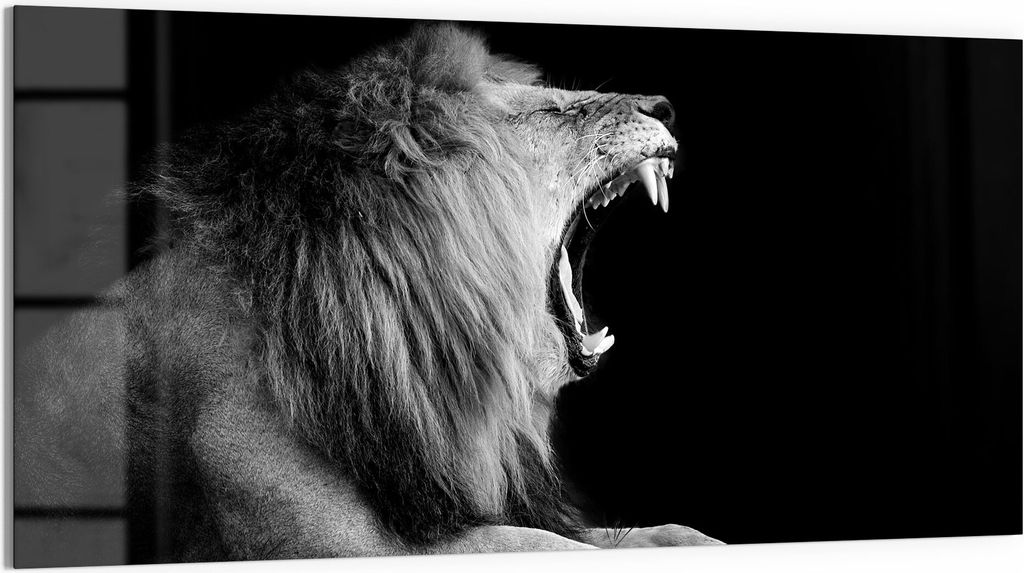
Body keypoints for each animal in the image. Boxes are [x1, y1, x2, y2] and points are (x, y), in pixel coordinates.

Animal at [14, 22, 720, 562]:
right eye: (549, 110)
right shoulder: (331, 539)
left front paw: (684, 534)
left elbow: (622, 535)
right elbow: (547, 545)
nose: (665, 107)